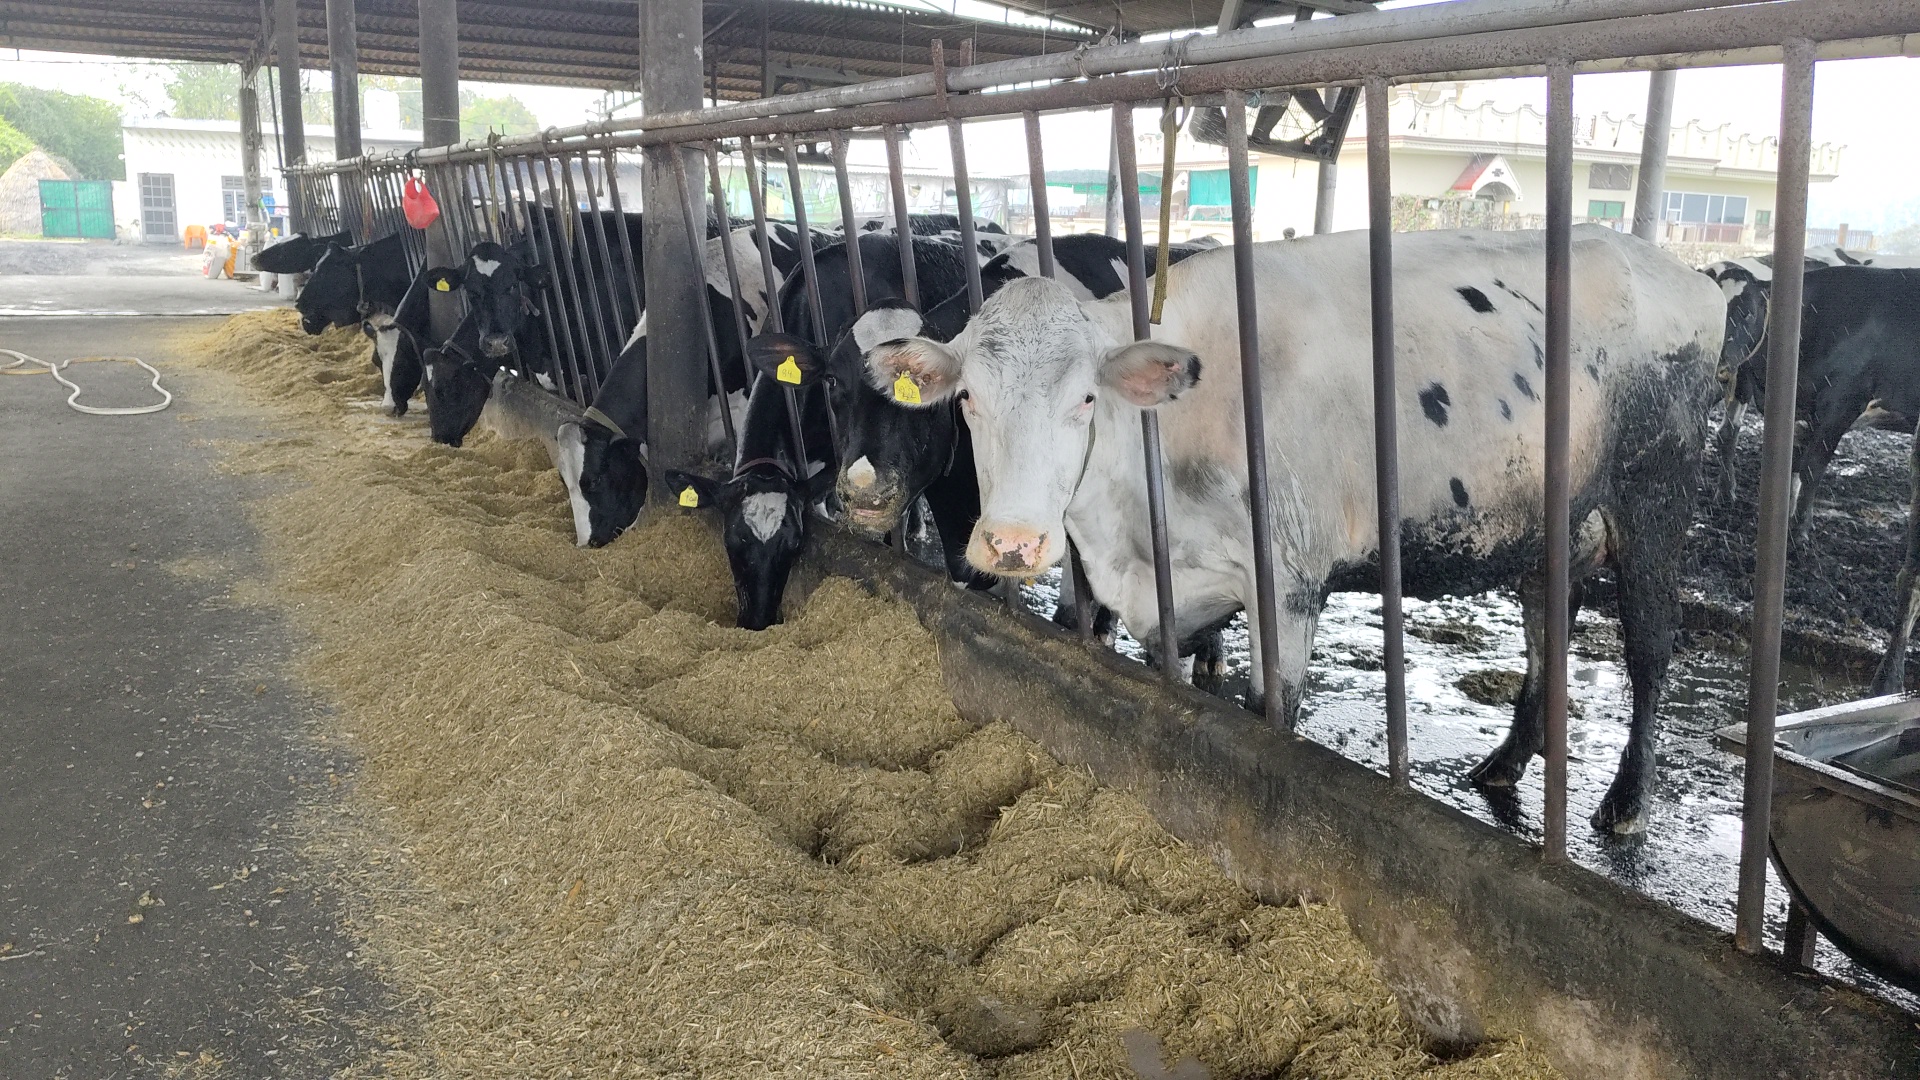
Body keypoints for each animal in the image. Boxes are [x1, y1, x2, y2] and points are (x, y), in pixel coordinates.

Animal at [866, 226, 1725, 834]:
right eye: (967, 398)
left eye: (1085, 398)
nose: (1011, 542)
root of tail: (1685, 273)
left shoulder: (1288, 581)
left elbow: (1264, 712)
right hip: (1555, 524)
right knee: (1550, 621)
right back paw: (1507, 762)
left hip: (1656, 496)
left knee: (1651, 647)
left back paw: (1626, 802)